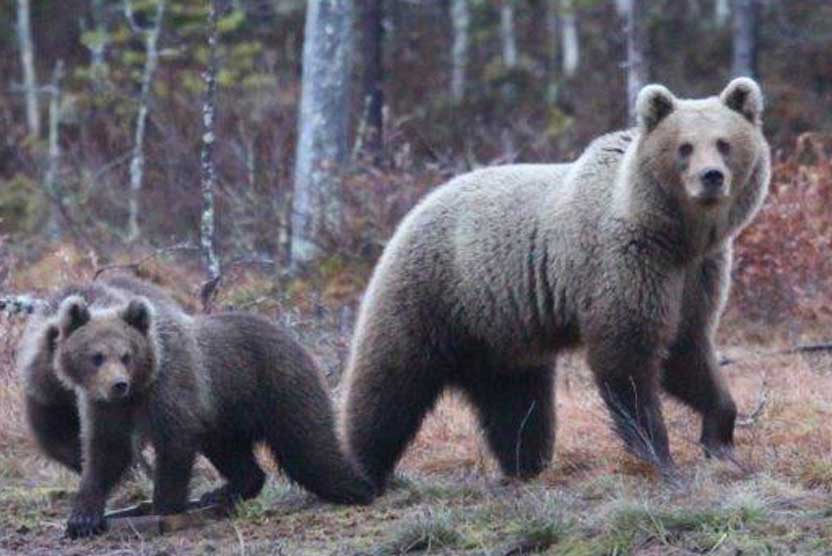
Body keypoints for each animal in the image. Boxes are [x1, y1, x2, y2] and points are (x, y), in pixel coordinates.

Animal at [38, 281, 373, 538]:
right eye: (96, 356)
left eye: (126, 355)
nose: (118, 384)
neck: (140, 389)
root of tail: (294, 338)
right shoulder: (104, 408)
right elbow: (105, 452)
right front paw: (83, 518)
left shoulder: (172, 389)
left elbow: (174, 445)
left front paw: (162, 506)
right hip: (225, 417)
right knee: (234, 455)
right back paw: (223, 492)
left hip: (276, 387)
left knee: (309, 445)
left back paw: (358, 485)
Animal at [339, 78, 771, 489]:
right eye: (685, 147)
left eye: (724, 143)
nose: (711, 177)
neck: (676, 234)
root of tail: (415, 208)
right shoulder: (625, 261)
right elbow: (628, 354)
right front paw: (658, 455)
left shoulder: (695, 274)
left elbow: (686, 349)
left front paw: (721, 439)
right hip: (433, 289)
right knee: (389, 383)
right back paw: (365, 468)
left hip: (498, 332)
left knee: (517, 402)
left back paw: (523, 463)